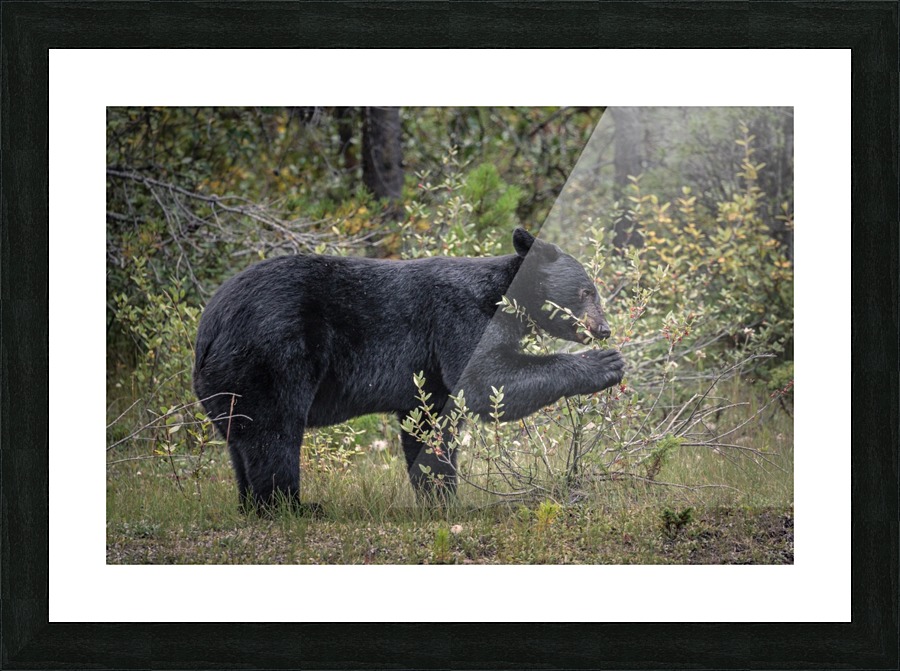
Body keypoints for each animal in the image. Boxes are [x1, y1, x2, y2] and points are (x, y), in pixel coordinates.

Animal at [193, 228, 625, 511]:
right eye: (588, 291)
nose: (603, 329)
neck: (506, 296)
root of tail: (208, 327)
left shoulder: (427, 369)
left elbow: (431, 422)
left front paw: (440, 496)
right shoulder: (459, 317)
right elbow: (484, 381)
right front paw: (605, 364)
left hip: (227, 384)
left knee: (241, 441)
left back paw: (251, 505)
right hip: (270, 355)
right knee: (274, 433)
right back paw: (291, 506)